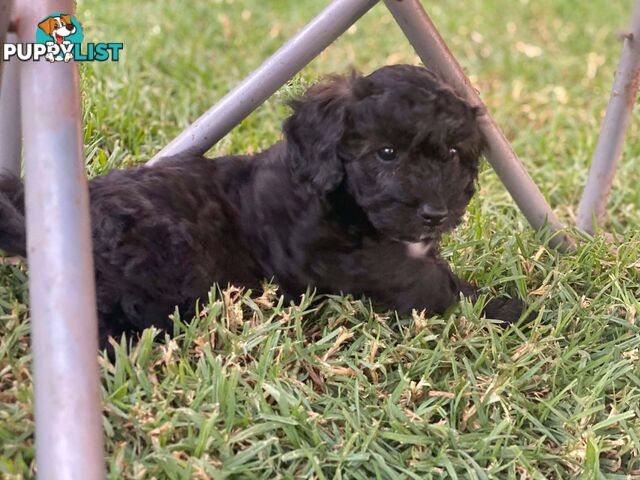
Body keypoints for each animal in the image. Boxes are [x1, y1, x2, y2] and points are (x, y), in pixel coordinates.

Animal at [0, 65, 528, 346]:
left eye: (453, 154)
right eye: (386, 153)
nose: (435, 213)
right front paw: (495, 306)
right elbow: (422, 279)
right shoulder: (333, 257)